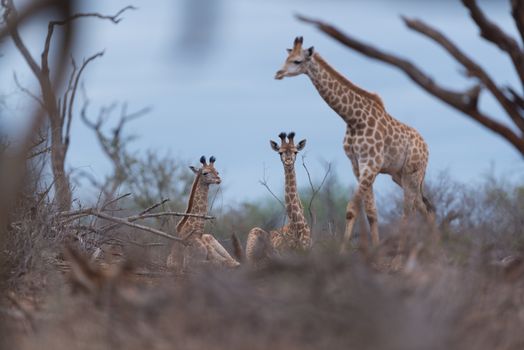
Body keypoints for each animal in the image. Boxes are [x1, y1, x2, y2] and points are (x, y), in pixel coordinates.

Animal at [274, 35, 434, 249]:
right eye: (287, 57)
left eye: (297, 61)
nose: (278, 73)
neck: (353, 119)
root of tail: (426, 147)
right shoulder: (357, 165)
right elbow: (370, 212)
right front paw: (373, 249)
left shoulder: (370, 164)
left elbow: (351, 209)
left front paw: (346, 251)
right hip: (399, 175)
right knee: (424, 205)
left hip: (413, 173)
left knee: (410, 211)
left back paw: (405, 251)